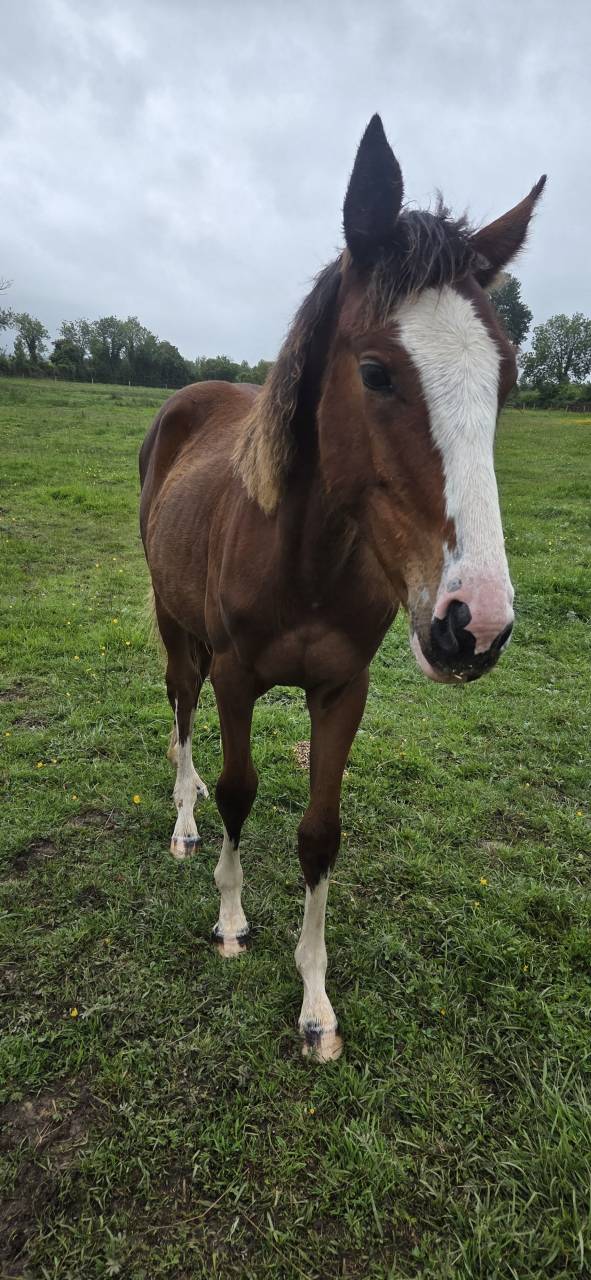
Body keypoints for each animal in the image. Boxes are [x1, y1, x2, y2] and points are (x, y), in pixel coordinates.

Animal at [139, 115, 545, 1061]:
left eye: (506, 379)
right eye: (374, 371)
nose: (474, 626)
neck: (305, 562)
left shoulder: (342, 690)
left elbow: (319, 835)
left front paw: (315, 1001)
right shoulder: (238, 679)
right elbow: (241, 791)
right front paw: (231, 920)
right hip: (175, 625)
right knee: (180, 708)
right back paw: (182, 820)